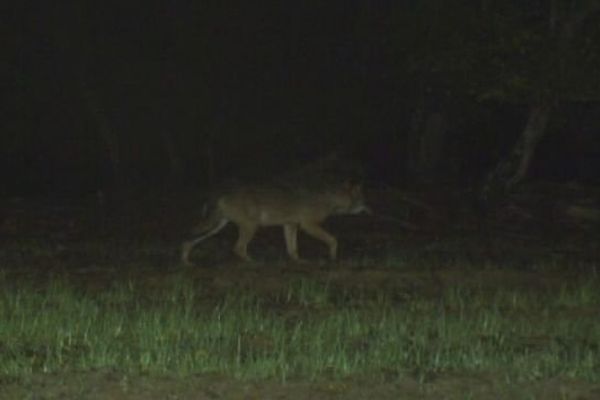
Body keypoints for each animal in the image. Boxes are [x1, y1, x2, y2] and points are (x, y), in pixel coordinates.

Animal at [182, 182, 370, 266]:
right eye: (363, 201)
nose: (370, 209)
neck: (329, 199)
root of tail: (222, 194)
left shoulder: (290, 225)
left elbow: (293, 249)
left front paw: (299, 262)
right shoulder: (308, 225)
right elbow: (333, 240)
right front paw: (332, 257)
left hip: (216, 227)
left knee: (187, 241)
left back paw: (186, 262)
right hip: (251, 227)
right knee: (238, 248)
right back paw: (254, 262)